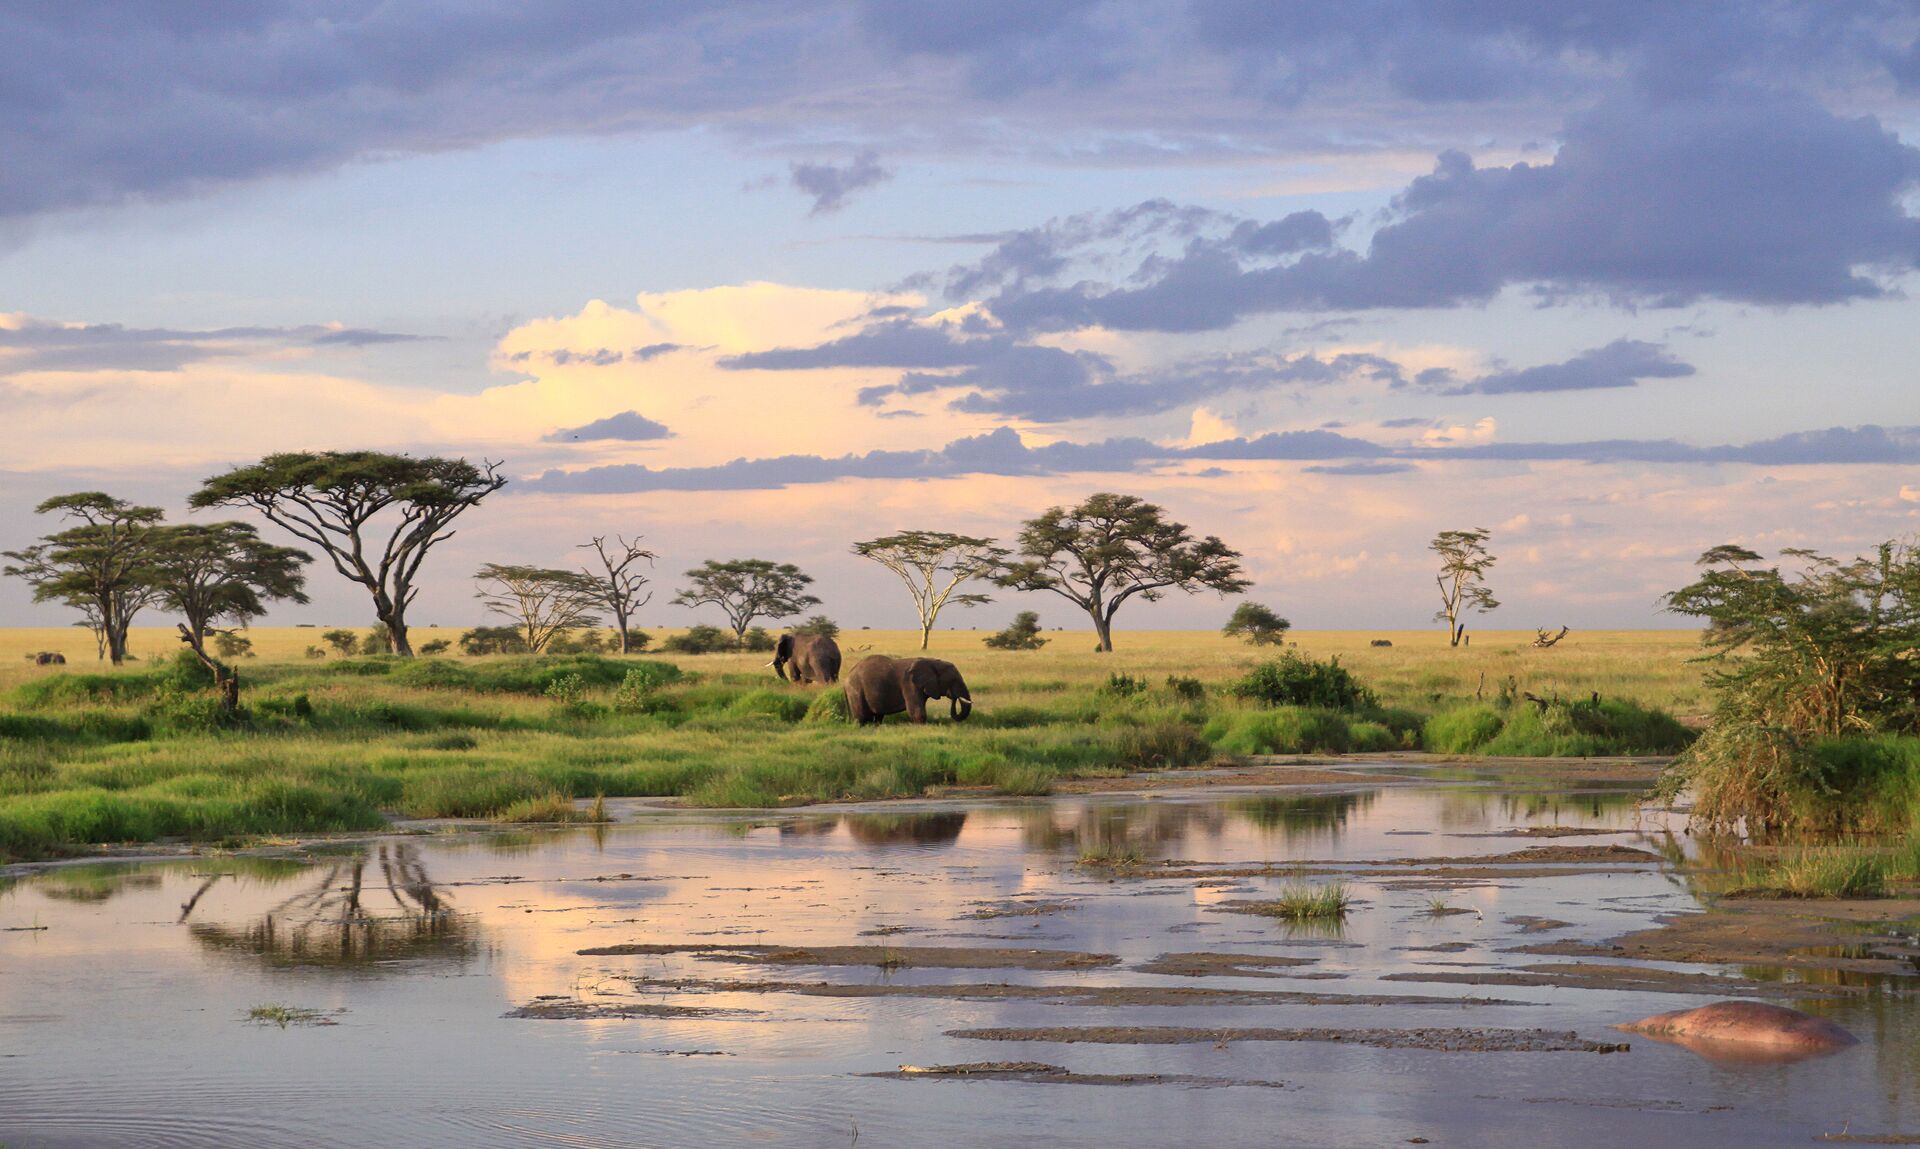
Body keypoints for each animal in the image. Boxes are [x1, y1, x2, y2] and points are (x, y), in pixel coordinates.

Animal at [843, 655, 972, 725]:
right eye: (953, 680)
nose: (953, 696)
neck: (932, 662)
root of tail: (846, 678)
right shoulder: (910, 684)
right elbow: (916, 711)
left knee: (878, 717)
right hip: (856, 690)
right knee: (862, 718)